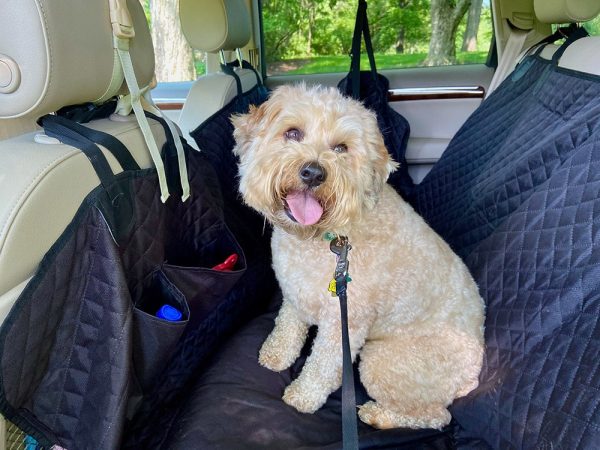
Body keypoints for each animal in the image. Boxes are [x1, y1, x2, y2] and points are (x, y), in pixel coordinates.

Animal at [232, 83, 486, 428]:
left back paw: (378, 415)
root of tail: (472, 377)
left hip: (386, 362)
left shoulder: (344, 324)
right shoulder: (295, 292)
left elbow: (324, 366)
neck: (327, 236)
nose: (313, 172)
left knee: (435, 415)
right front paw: (275, 354)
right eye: (293, 133)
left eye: (341, 148)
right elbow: (287, 324)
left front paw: (303, 397)